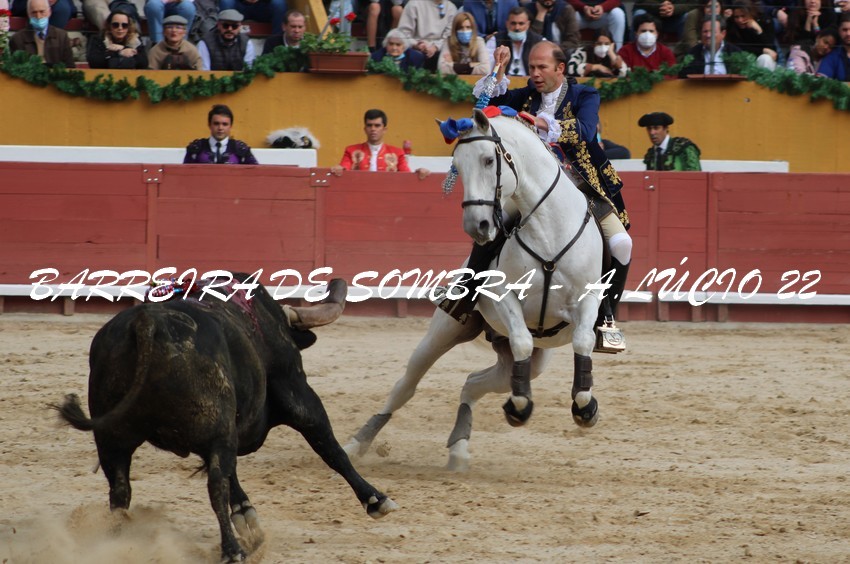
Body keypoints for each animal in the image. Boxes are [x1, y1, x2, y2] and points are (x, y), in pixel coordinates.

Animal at [52, 274, 397, 563]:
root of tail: (146, 322)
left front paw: (246, 514)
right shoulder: (298, 394)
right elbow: (332, 450)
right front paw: (376, 500)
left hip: (113, 438)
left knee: (120, 491)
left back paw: (116, 541)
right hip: (214, 424)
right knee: (215, 484)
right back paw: (232, 550)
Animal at [344, 108, 605, 471]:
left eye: (487, 160)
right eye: (457, 165)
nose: (477, 226)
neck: (549, 230)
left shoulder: (589, 299)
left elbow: (583, 340)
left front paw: (584, 408)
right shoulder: (505, 297)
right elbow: (523, 339)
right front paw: (520, 407)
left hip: (524, 360)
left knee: (473, 383)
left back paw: (458, 447)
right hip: (445, 330)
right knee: (407, 385)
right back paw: (357, 443)